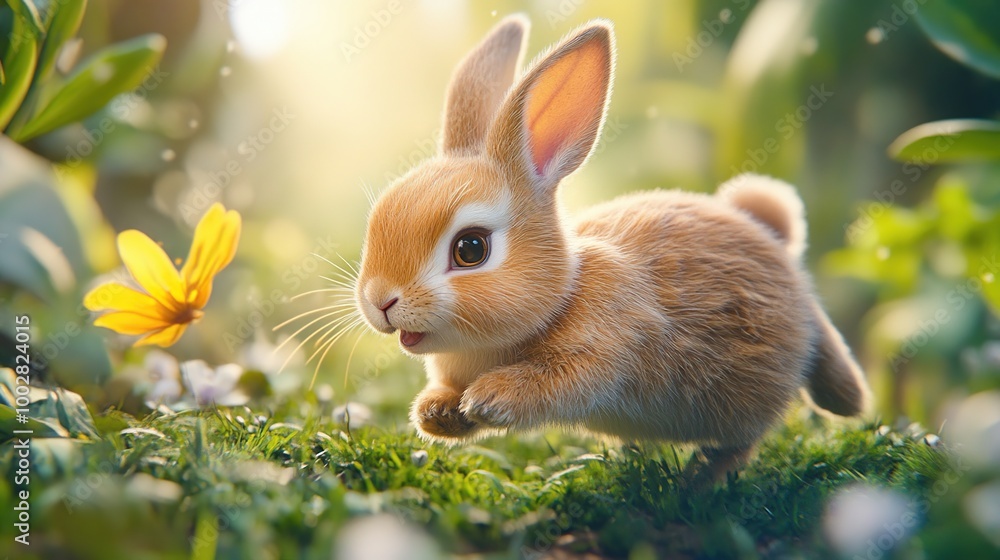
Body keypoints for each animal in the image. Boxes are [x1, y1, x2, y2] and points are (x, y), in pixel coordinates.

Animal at [354, 15, 871, 478]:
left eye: (471, 249)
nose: (380, 301)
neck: (561, 296)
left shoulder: (609, 345)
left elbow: (560, 380)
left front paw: (488, 398)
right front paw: (438, 413)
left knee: (745, 440)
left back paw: (703, 479)